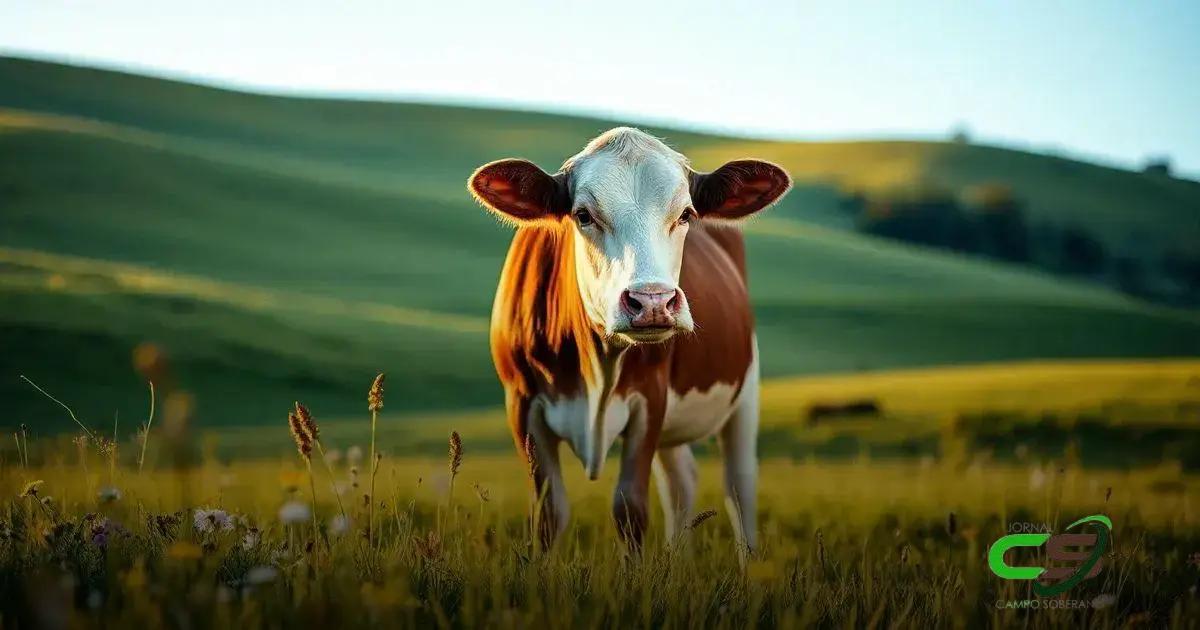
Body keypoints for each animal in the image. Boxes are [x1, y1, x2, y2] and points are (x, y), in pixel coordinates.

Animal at [467, 127, 791, 553]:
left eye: (686, 214)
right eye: (583, 215)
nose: (652, 301)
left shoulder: (650, 398)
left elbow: (630, 509)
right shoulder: (520, 402)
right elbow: (549, 513)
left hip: (746, 389)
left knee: (739, 489)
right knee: (682, 483)